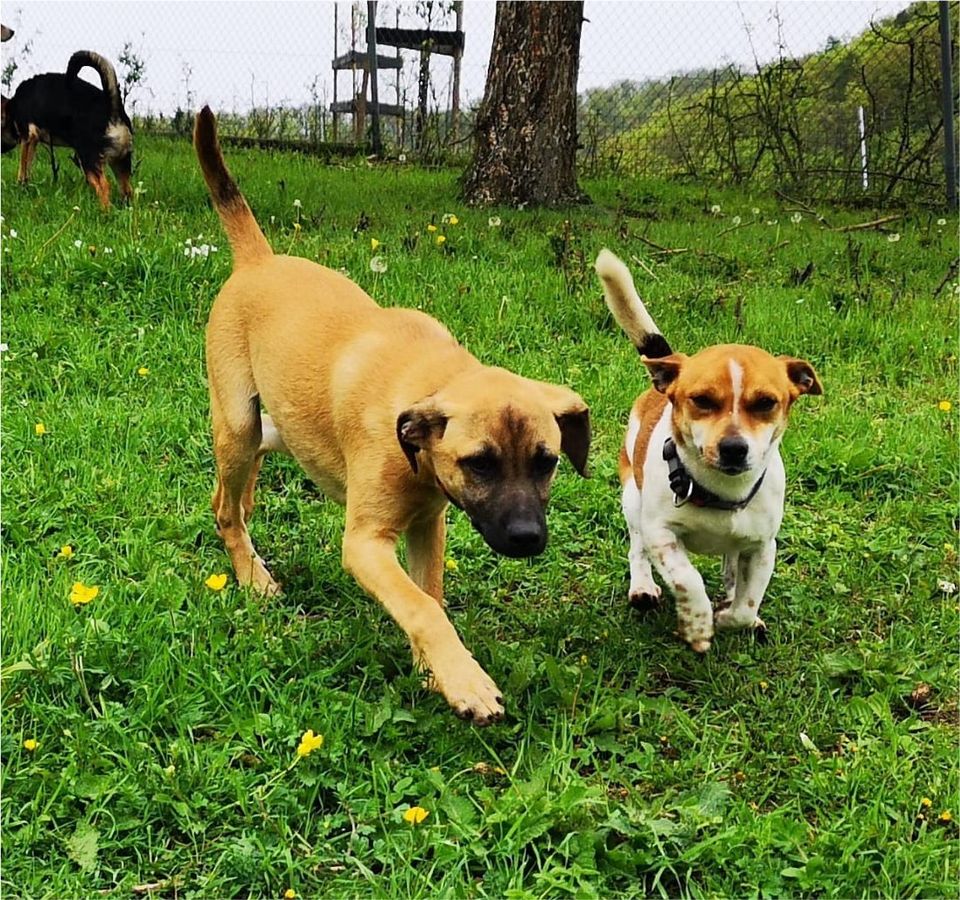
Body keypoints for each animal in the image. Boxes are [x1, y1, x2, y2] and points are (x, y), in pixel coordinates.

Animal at [2, 51, 133, 209]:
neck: (12, 107)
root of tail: (113, 109)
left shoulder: (28, 136)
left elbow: (22, 166)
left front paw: (20, 186)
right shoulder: (33, 140)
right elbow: (28, 165)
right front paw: (25, 186)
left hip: (88, 159)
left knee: (104, 187)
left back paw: (103, 211)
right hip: (121, 162)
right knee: (127, 190)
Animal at [192, 107, 588, 724]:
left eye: (547, 462)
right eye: (480, 463)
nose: (527, 539)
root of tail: (259, 259)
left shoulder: (429, 525)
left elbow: (428, 598)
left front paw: (434, 671)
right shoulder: (365, 544)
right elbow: (420, 607)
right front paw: (465, 680)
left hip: (273, 426)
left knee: (245, 475)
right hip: (236, 420)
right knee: (226, 508)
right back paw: (252, 574)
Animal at [596, 250, 820, 652]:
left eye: (766, 403)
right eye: (701, 400)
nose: (733, 448)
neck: (721, 492)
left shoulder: (762, 547)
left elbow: (747, 600)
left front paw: (733, 616)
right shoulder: (662, 535)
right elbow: (689, 580)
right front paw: (698, 625)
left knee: (732, 570)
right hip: (632, 498)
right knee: (636, 546)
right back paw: (643, 586)